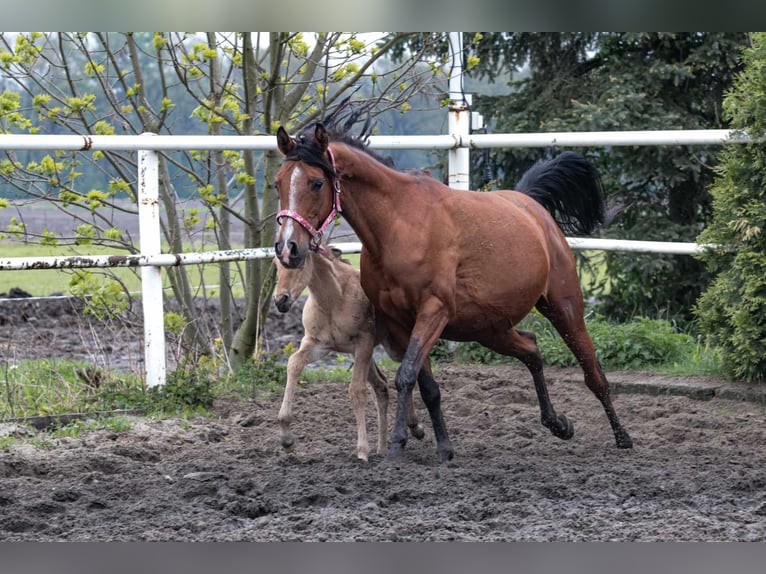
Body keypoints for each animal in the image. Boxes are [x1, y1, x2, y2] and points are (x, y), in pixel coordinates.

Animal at [272, 248, 425, 461]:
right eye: (275, 264)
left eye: (298, 262)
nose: (280, 301)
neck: (333, 300)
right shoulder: (316, 344)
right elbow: (294, 363)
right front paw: (286, 438)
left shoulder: (363, 343)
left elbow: (357, 391)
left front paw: (362, 451)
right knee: (382, 385)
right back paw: (382, 448)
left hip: (393, 346)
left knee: (410, 371)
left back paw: (415, 427)